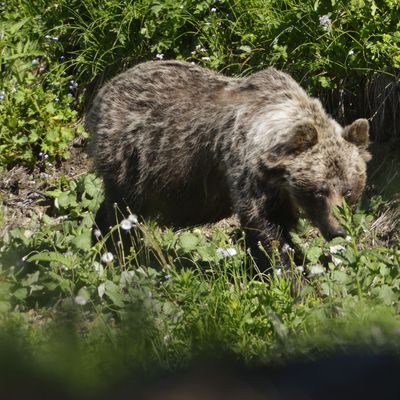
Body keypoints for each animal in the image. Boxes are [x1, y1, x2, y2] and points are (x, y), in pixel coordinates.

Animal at [86, 60, 370, 268]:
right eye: (319, 191)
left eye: (348, 190)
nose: (339, 230)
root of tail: (104, 90)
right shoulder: (248, 173)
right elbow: (266, 230)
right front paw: (288, 273)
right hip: (132, 158)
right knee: (121, 212)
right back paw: (115, 251)